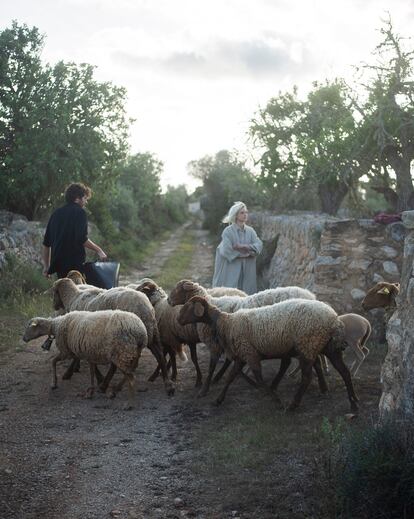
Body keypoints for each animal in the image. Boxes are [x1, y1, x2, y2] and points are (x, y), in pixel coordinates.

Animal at [167, 282, 316, 396]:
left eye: (178, 289)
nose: (168, 300)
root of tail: (311, 296)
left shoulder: (216, 344)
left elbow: (212, 368)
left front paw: (206, 388)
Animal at [178, 296, 360, 414]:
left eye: (188, 307)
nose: (179, 320)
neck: (226, 323)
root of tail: (334, 320)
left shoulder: (249, 353)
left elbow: (258, 377)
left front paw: (275, 400)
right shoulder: (242, 355)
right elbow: (231, 377)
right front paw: (218, 400)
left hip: (307, 345)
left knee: (307, 377)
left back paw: (293, 405)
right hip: (328, 348)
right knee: (344, 372)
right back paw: (353, 403)